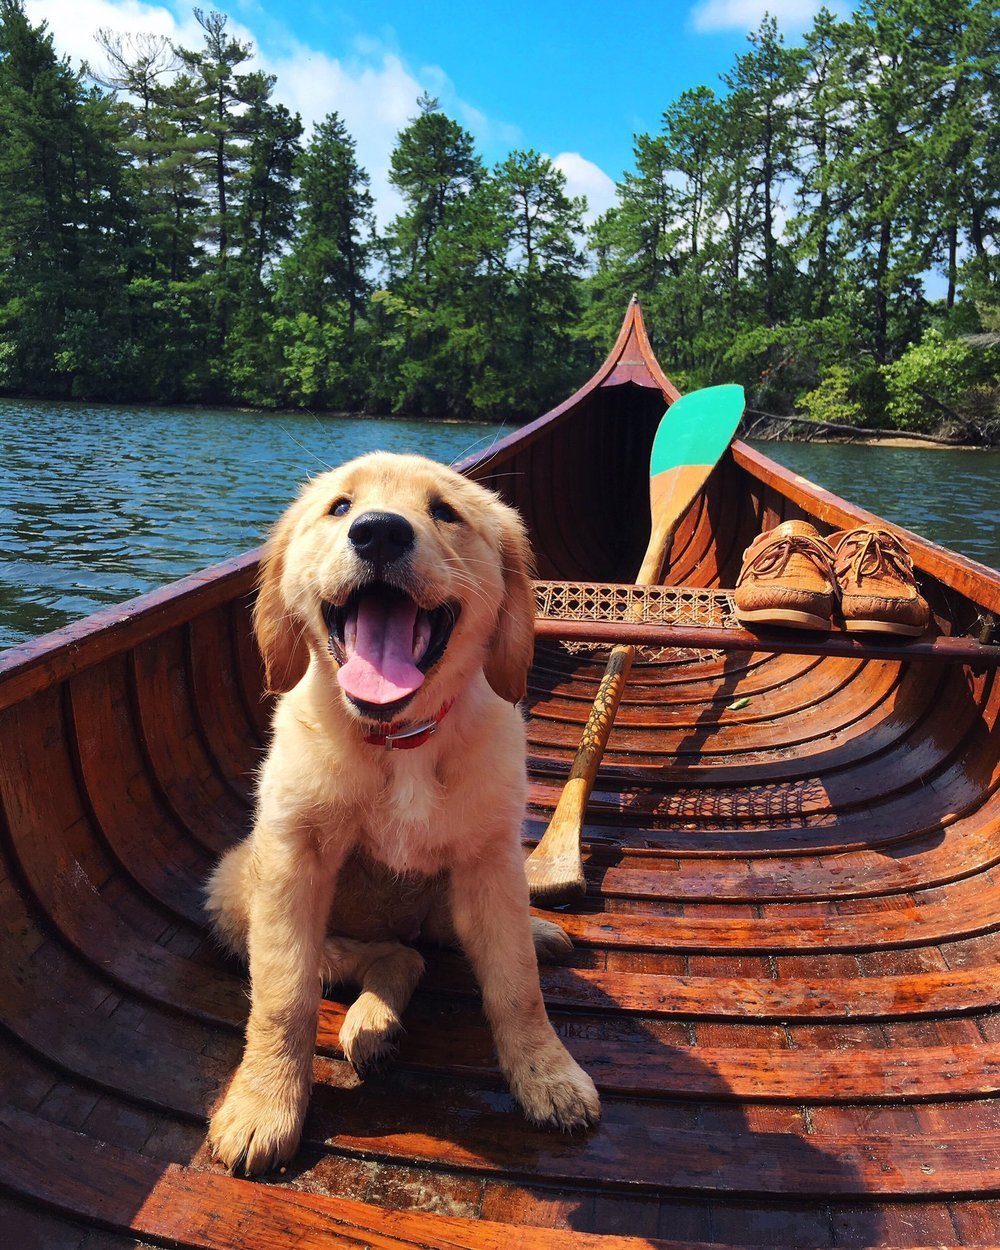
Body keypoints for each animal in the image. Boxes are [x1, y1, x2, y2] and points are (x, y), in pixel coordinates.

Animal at [202, 455, 595, 1175]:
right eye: (339, 507)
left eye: (445, 512)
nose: (379, 532)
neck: (398, 740)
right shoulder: (292, 863)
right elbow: (283, 997)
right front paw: (263, 1104)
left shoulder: (490, 861)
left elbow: (517, 987)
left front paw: (548, 1075)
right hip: (234, 891)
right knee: (392, 957)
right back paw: (372, 1023)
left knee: (437, 945)